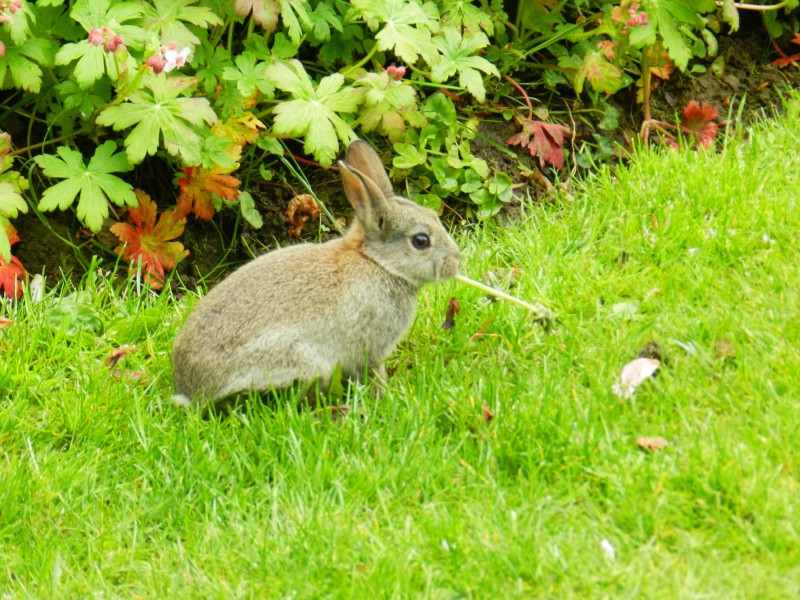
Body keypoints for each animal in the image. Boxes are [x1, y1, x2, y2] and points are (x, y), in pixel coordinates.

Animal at [173, 138, 462, 406]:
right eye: (421, 241)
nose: (456, 263)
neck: (377, 262)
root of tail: (192, 392)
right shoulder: (370, 346)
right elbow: (373, 373)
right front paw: (385, 397)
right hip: (299, 359)